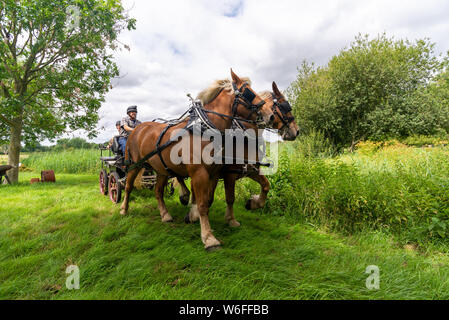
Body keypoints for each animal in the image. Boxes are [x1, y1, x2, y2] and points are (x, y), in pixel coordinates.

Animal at [121, 69, 272, 250]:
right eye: (248, 92)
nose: (270, 115)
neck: (206, 128)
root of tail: (139, 128)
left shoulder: (214, 173)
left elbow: (207, 200)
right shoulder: (200, 173)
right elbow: (202, 204)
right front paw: (208, 238)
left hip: (162, 169)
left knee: (158, 191)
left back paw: (165, 215)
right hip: (134, 165)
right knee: (128, 186)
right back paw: (124, 209)